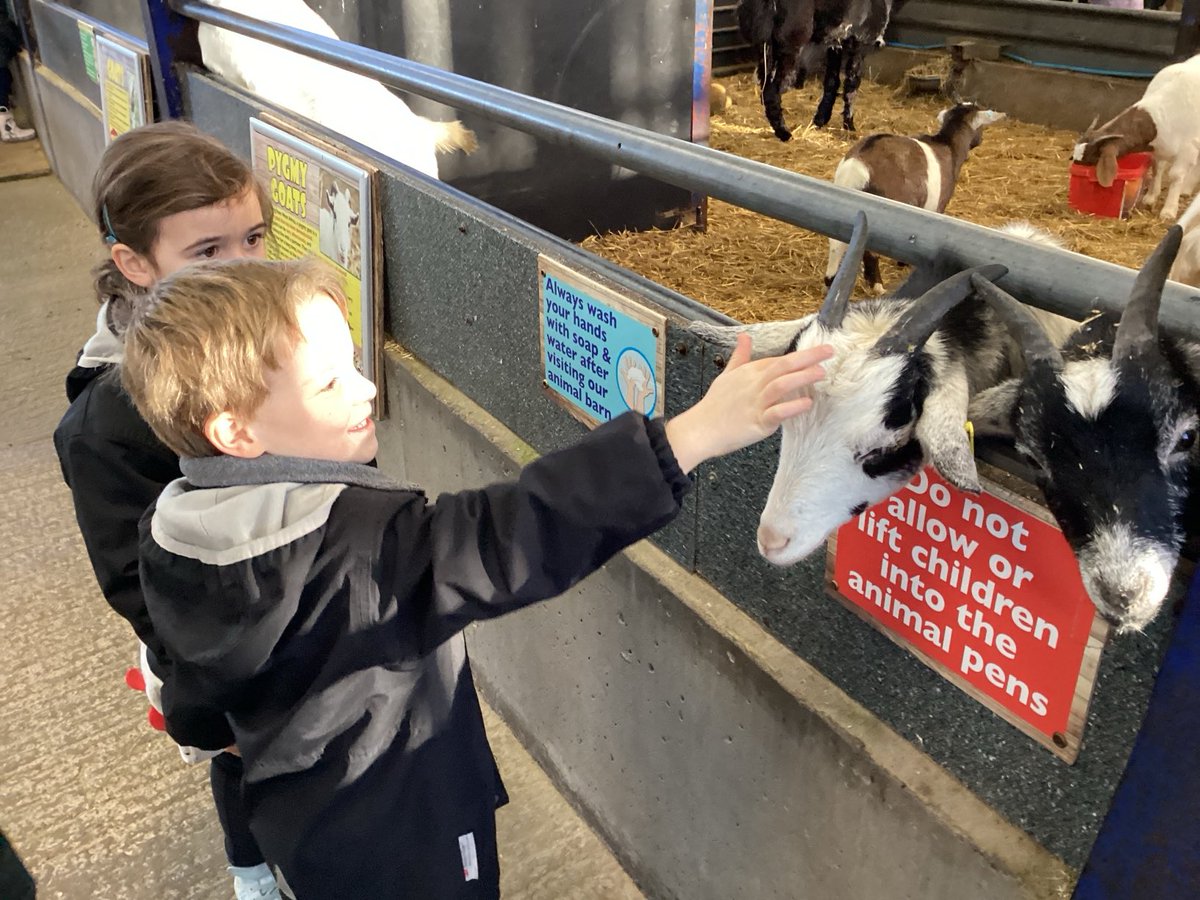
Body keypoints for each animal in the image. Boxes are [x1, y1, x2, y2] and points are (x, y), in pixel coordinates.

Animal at [739, 0, 902, 141]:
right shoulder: (859, 41)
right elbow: (852, 85)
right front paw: (849, 126)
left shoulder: (835, 42)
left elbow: (832, 82)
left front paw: (820, 120)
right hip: (790, 45)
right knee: (771, 90)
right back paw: (784, 133)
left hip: (764, 45)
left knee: (764, 83)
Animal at [825, 103, 1003, 292]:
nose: (980, 140)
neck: (948, 146)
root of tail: (857, 166)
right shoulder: (936, 207)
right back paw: (878, 285)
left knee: (837, 242)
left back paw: (832, 280)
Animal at [1075, 52, 1200, 222]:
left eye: (1091, 159)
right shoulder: (1159, 149)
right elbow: (1157, 168)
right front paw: (1151, 198)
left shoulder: (1188, 149)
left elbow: (1175, 175)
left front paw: (1169, 211)